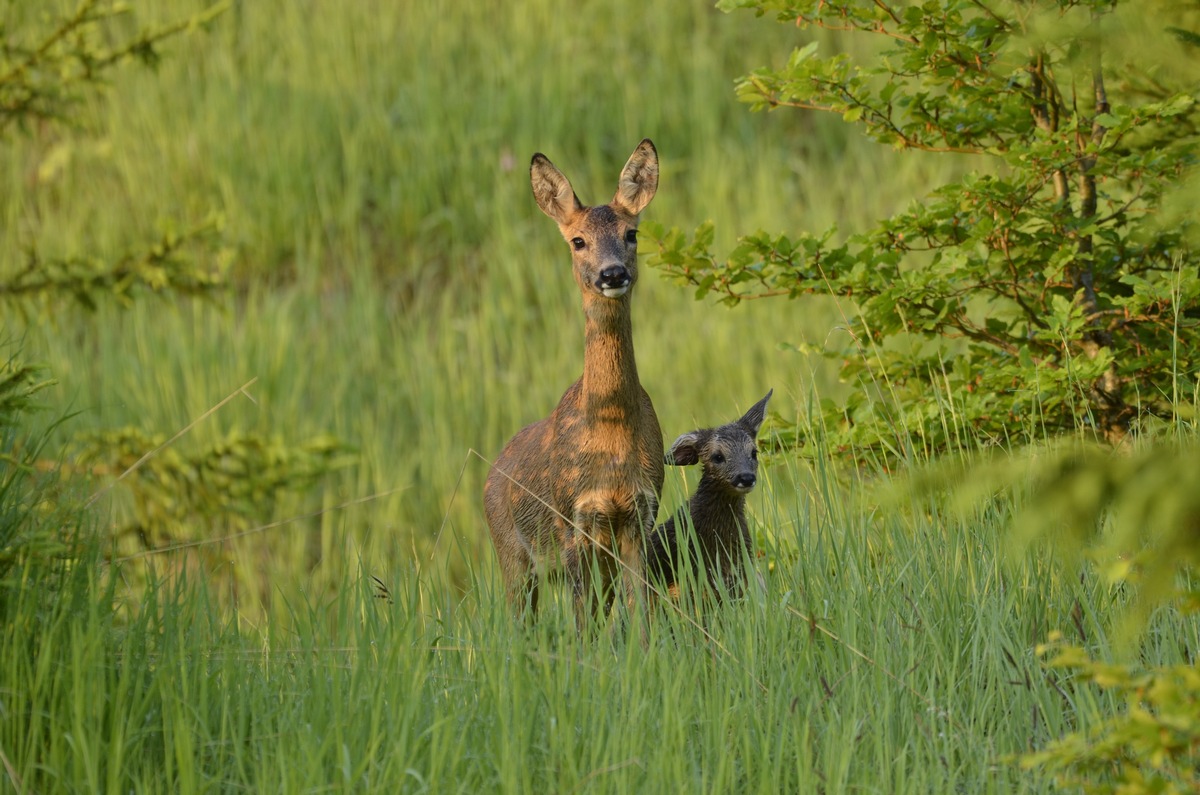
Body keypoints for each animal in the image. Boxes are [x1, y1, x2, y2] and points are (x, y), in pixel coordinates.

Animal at [480, 138, 667, 634]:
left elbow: (641, 614)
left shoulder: (640, 513)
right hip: (511, 553)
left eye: (632, 233)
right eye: (577, 241)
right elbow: (583, 626)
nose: (612, 274)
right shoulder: (571, 520)